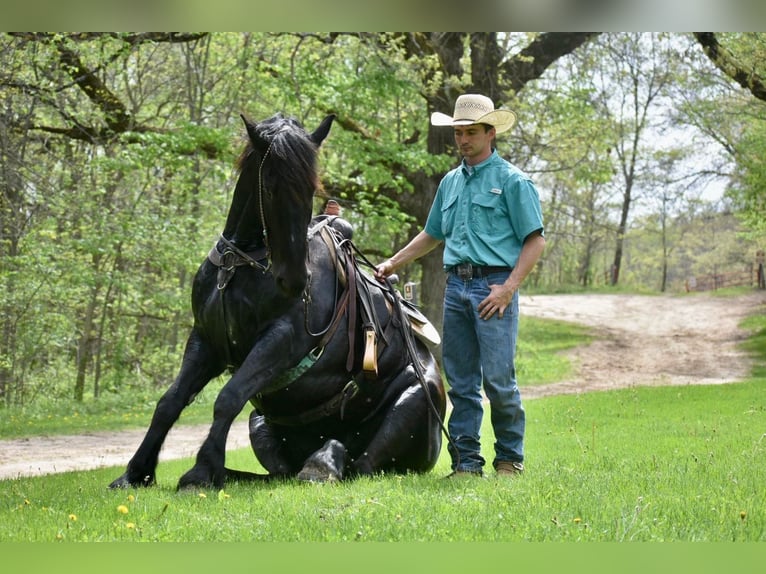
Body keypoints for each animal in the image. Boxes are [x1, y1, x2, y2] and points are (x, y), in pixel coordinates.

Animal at [107, 112, 444, 490]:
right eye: (268, 186)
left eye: (311, 188)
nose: (294, 280)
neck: (239, 266)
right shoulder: (205, 342)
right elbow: (170, 401)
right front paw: (136, 471)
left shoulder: (282, 342)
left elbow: (228, 397)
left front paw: (201, 471)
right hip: (261, 427)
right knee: (281, 471)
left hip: (413, 401)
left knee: (361, 463)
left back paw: (322, 463)